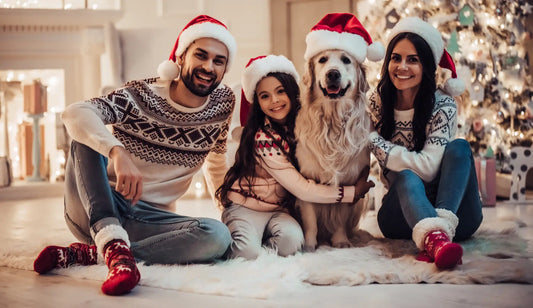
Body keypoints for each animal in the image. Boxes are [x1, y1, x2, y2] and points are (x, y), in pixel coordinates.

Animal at [294, 50, 372, 250]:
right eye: (322, 60)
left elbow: (340, 218)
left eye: (346, 60)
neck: (333, 122)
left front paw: (340, 241)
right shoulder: (308, 180)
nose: (333, 74)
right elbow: (311, 221)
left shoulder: (350, 181)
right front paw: (309, 245)